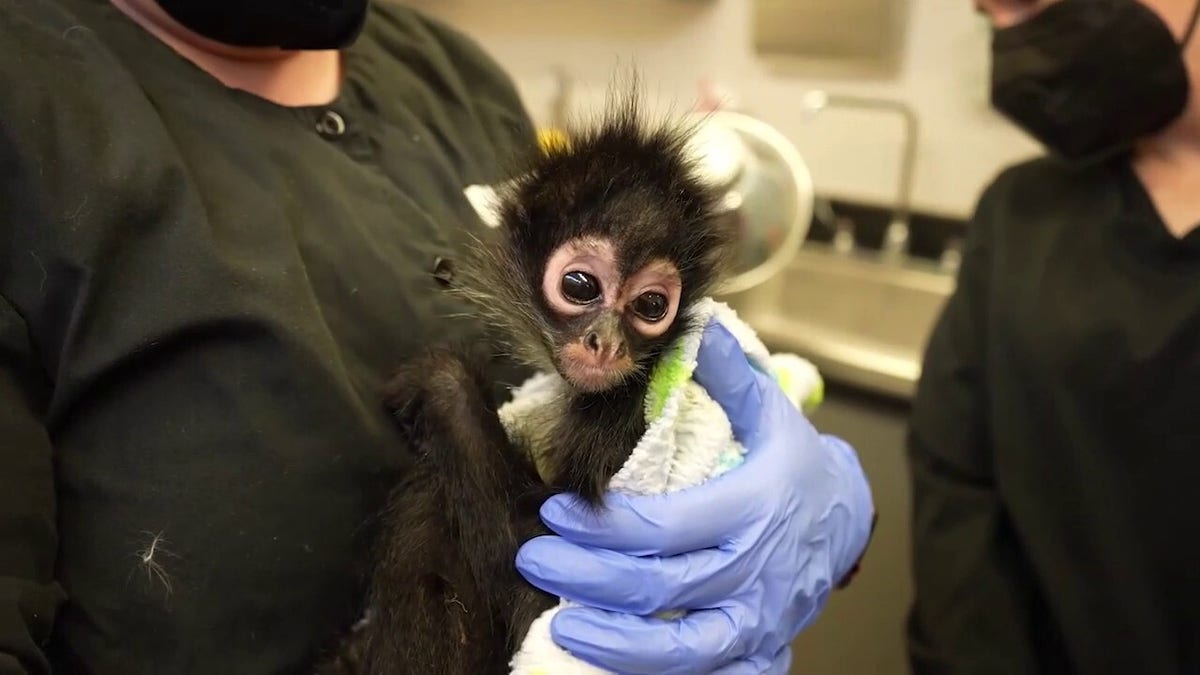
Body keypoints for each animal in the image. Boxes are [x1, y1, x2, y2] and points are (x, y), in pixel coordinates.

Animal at [320, 86, 735, 674]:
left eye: (652, 305)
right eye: (580, 285)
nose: (606, 343)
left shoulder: (624, 414)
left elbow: (540, 592)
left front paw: (441, 382)